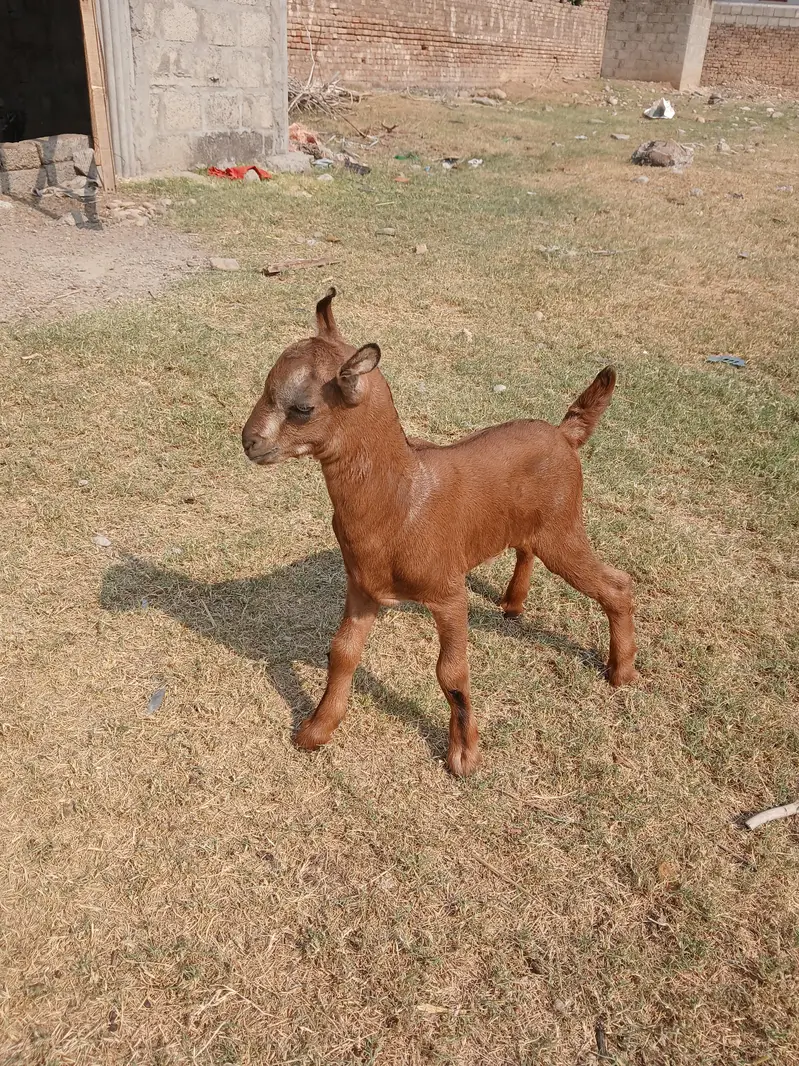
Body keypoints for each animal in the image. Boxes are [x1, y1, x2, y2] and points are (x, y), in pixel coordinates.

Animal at [242, 289, 638, 776]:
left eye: (302, 408)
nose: (249, 441)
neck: (402, 500)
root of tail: (565, 434)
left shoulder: (448, 592)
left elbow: (451, 673)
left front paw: (464, 756)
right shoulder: (363, 586)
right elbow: (342, 652)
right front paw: (315, 731)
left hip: (563, 527)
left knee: (616, 584)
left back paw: (621, 672)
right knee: (525, 548)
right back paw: (512, 604)